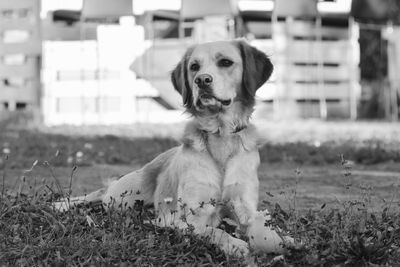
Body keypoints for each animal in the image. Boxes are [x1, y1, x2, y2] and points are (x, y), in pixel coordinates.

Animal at [54, 39, 290, 258]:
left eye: (226, 62)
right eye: (194, 66)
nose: (202, 80)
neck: (220, 135)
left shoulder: (245, 207)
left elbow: (263, 231)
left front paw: (281, 240)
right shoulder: (185, 217)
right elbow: (214, 230)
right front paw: (235, 244)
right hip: (122, 200)